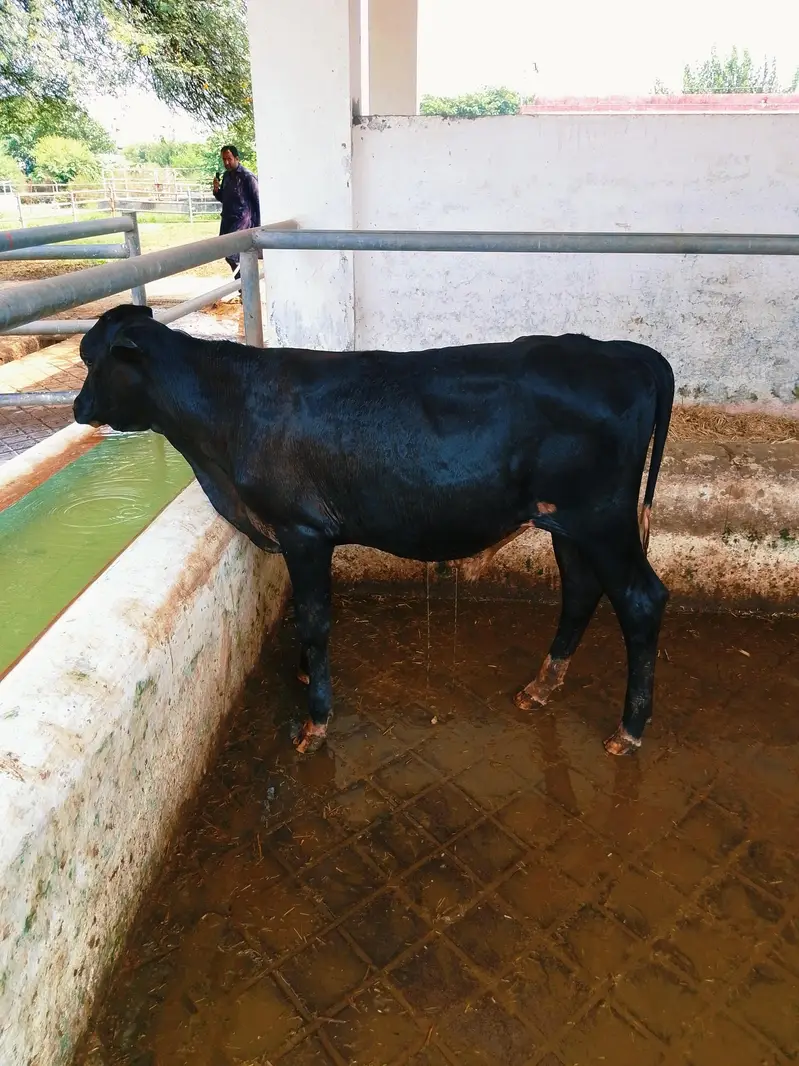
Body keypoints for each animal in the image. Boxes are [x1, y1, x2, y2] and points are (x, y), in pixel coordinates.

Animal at [73, 304, 674, 759]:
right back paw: (542, 686)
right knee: (581, 590)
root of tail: (625, 351)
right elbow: (306, 616)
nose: (79, 406)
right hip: (565, 523)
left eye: (93, 358)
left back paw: (629, 730)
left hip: (602, 518)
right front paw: (302, 675)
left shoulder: (302, 529)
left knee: (641, 600)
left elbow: (314, 621)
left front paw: (314, 720)